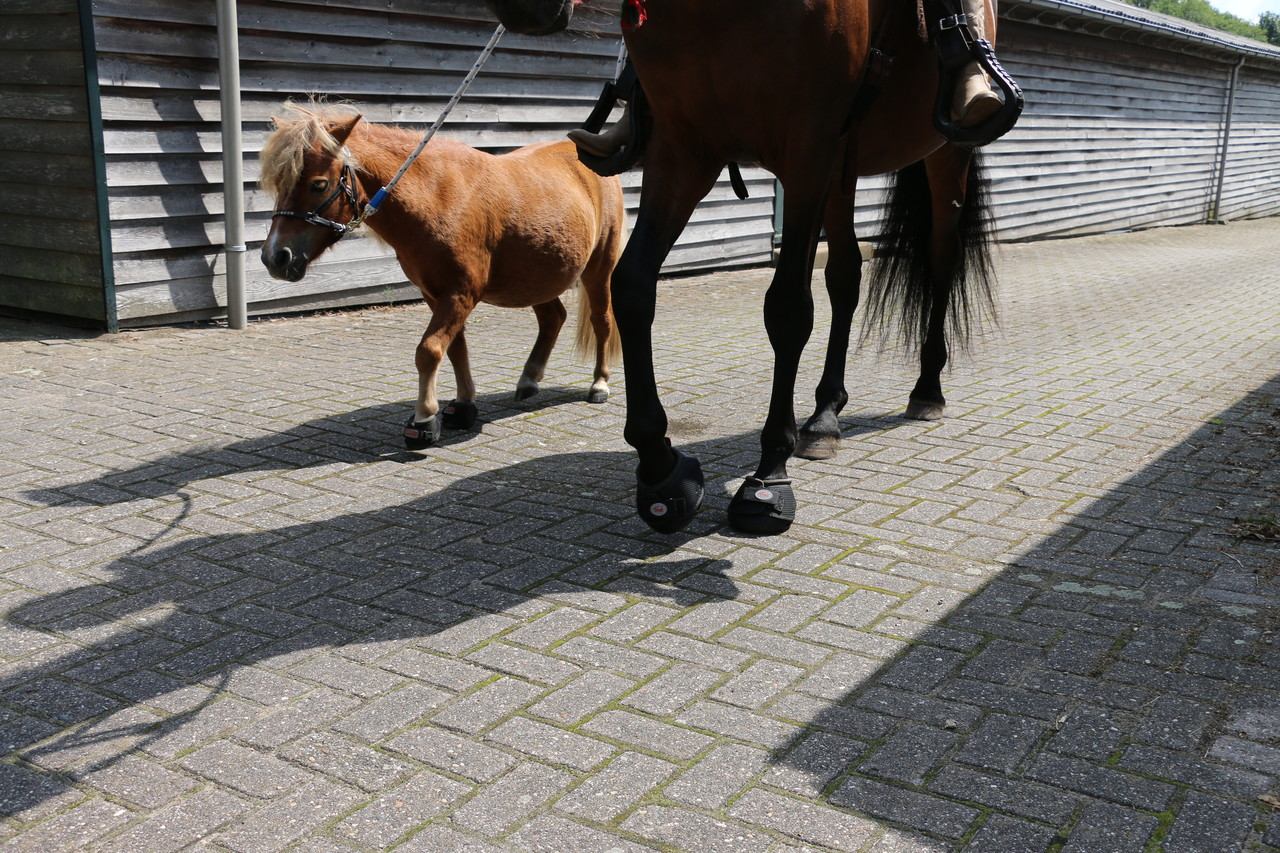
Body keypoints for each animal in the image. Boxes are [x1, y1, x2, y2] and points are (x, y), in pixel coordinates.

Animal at [259, 101, 625, 448]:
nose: (275, 258)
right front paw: (462, 405)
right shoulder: (436, 295)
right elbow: (455, 349)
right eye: (279, 184)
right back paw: (529, 379)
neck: (437, 197)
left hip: (598, 269)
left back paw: (599, 383)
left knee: (601, 320)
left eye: (318, 185)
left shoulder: (460, 293)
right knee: (553, 318)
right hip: (535, 277)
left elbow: (429, 351)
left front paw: (424, 419)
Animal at [482, 0, 1002, 537]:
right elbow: (632, 288)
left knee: (941, 260)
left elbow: (789, 309)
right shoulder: (682, 150)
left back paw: (927, 389)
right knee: (845, 276)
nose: (523, 8)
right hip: (843, 170)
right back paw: (824, 416)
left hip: (943, 154)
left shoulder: (807, 153)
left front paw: (769, 475)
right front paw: (663, 473)